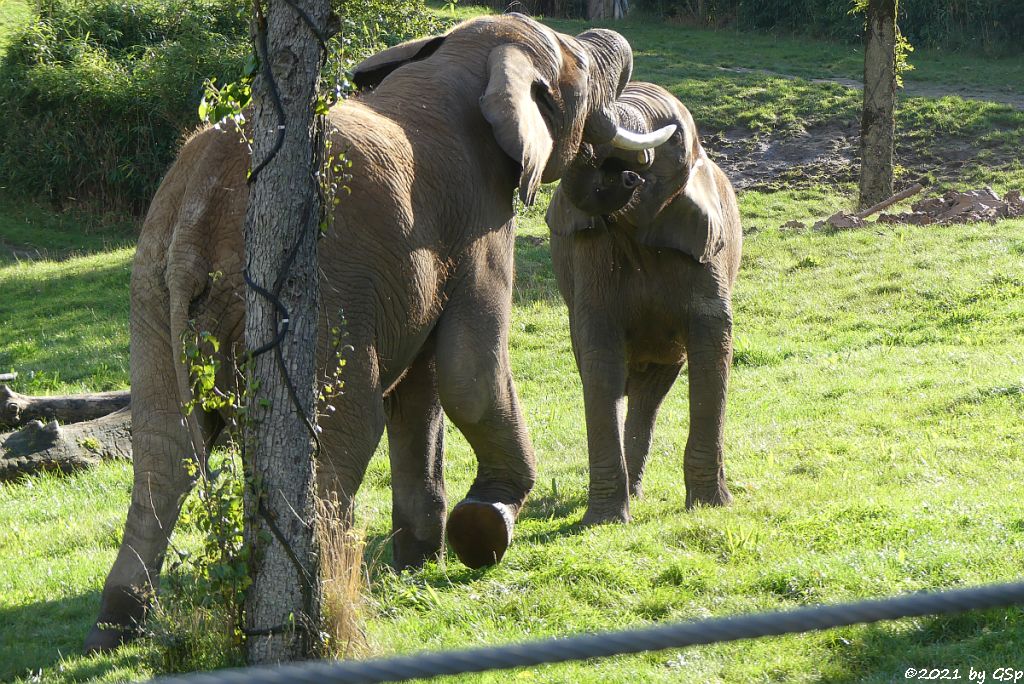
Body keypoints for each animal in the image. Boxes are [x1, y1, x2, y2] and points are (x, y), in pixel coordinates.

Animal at [81, 12, 671, 651]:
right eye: (582, 70)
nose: (627, 176)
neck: (453, 61)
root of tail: (201, 208)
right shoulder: (479, 217)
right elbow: (470, 373)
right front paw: (485, 525)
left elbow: (420, 394)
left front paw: (420, 557)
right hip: (313, 295)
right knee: (339, 437)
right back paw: (332, 610)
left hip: (149, 285)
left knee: (164, 449)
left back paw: (115, 628)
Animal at [544, 82, 745, 528]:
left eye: (676, 140)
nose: (627, 174)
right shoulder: (591, 254)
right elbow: (599, 351)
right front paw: (604, 520)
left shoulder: (707, 249)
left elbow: (713, 342)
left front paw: (710, 506)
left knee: (649, 393)